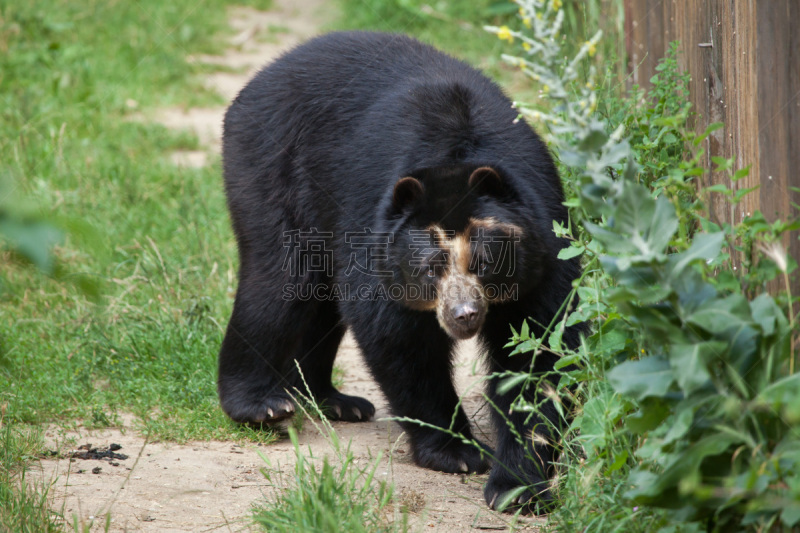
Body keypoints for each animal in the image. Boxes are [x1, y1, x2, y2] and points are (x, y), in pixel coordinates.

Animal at [217, 31, 580, 512]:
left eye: (484, 264)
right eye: (431, 269)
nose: (464, 315)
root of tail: (263, 76)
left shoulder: (543, 240)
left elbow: (540, 352)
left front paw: (517, 485)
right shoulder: (375, 231)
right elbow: (400, 337)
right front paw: (457, 452)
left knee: (317, 302)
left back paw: (334, 400)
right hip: (272, 167)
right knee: (279, 283)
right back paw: (263, 405)